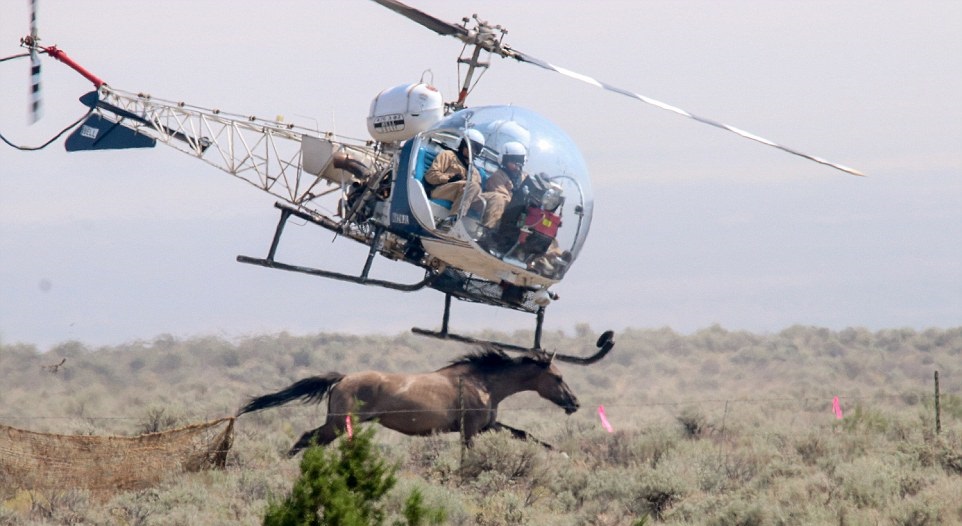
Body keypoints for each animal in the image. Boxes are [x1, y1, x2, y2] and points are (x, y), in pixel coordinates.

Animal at [236, 332, 612, 456]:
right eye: (558, 377)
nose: (575, 403)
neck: (484, 383)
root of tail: (342, 379)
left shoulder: (488, 426)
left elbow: (525, 434)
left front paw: (560, 453)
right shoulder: (470, 430)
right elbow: (468, 458)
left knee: (309, 440)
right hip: (338, 424)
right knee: (306, 438)